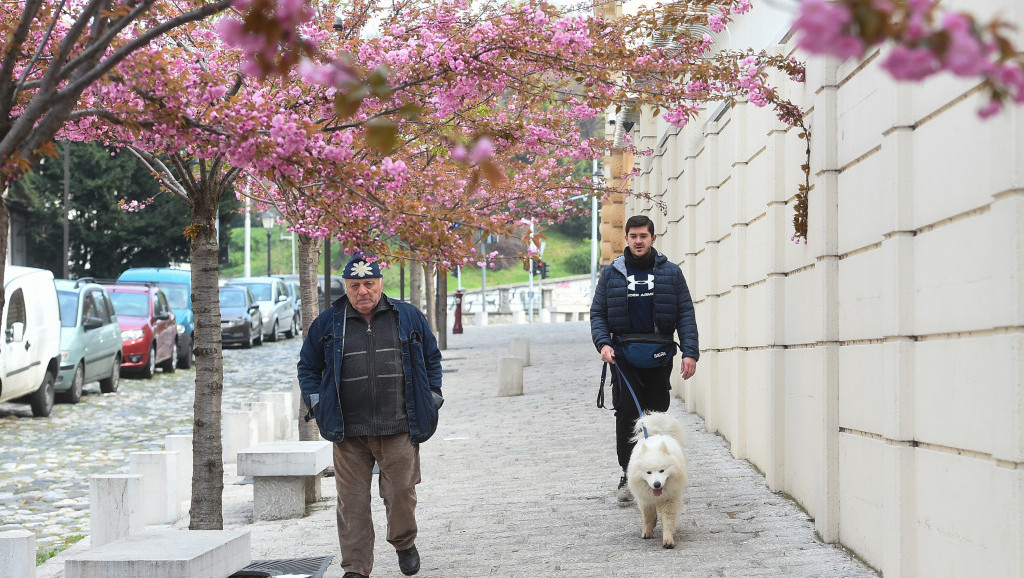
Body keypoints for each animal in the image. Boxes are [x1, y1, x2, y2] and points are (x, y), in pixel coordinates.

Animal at [622, 409, 688, 545]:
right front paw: (647, 532)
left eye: (662, 471)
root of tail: (658, 434)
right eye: (648, 472)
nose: (657, 484)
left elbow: (668, 519)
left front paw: (668, 539)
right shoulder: (645, 500)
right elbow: (648, 517)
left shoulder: (670, 499)